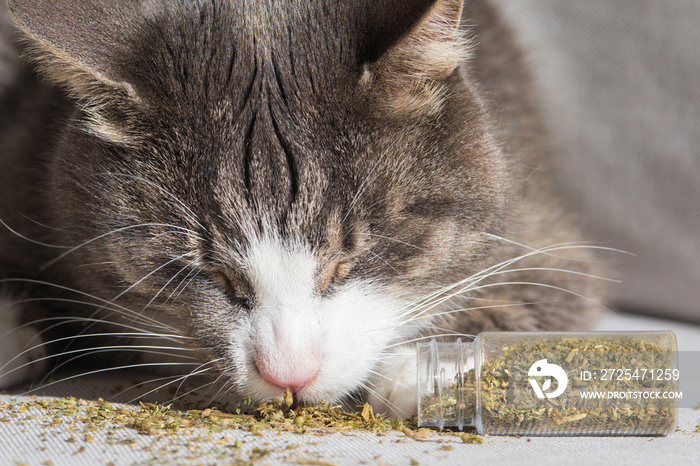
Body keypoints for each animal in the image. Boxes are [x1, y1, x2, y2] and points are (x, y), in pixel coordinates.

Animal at [0, 0, 600, 416]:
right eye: (214, 275)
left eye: (346, 264)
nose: (290, 373)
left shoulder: (541, 224)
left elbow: (546, 287)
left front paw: (422, 368)